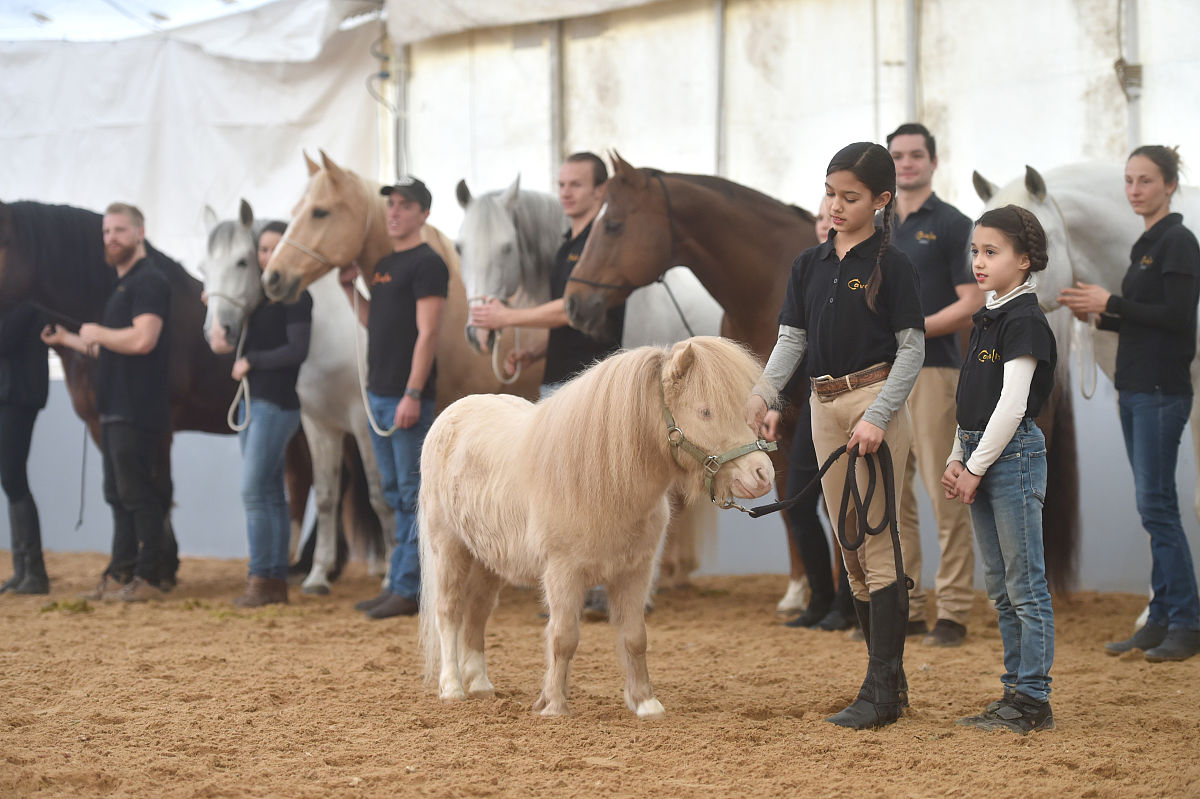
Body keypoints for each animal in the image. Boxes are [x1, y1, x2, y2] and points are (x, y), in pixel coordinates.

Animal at [198, 200, 393, 593]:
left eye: (242, 262)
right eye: (202, 268)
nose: (218, 334)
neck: (330, 333)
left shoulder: (365, 424)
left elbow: (380, 495)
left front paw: (394, 577)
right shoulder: (318, 425)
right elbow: (328, 497)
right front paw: (318, 576)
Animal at [417, 336, 777, 717]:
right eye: (705, 411)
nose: (761, 475)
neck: (604, 482)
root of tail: (452, 413)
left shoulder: (636, 573)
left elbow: (635, 637)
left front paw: (646, 703)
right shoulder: (563, 574)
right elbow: (563, 638)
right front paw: (554, 705)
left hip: (489, 559)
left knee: (478, 613)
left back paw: (481, 684)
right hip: (449, 547)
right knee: (449, 612)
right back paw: (452, 687)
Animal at [560, 153, 820, 610]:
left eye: (613, 225)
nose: (573, 304)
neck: (769, 284)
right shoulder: (775, 425)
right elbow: (790, 503)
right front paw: (796, 592)